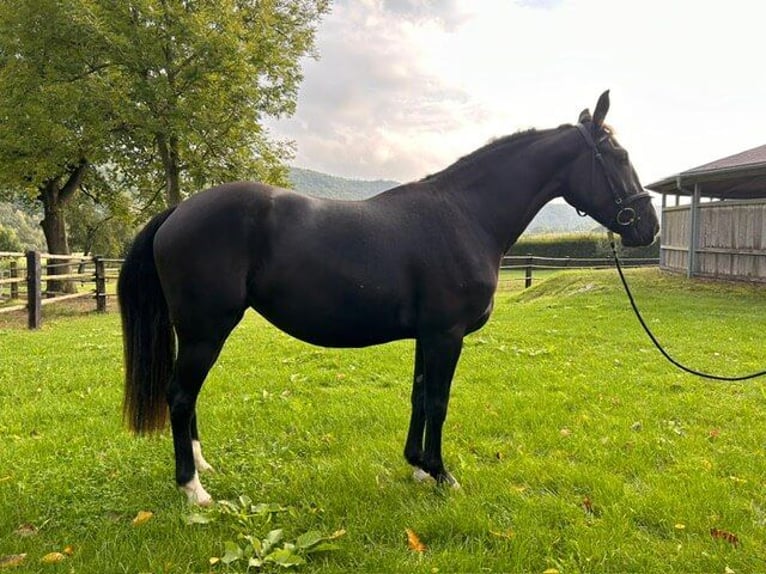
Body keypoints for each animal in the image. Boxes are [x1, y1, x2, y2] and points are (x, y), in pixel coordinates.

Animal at [118, 92, 660, 506]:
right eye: (617, 157)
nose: (648, 229)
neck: (465, 216)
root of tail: (178, 210)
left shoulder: (429, 336)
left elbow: (420, 396)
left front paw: (417, 467)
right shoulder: (446, 335)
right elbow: (438, 401)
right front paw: (442, 474)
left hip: (197, 332)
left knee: (188, 398)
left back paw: (202, 465)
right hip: (205, 330)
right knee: (180, 395)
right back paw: (193, 490)